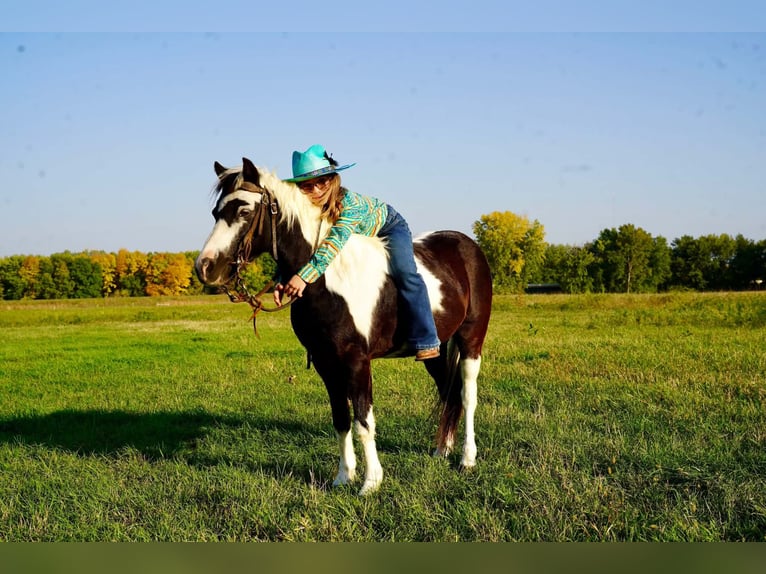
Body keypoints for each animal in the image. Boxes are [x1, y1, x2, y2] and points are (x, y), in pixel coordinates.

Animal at [195, 158, 492, 495]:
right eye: (216, 212)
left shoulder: (356, 361)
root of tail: (467, 245)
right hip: (436, 350)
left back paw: (467, 459)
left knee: (467, 396)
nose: (205, 267)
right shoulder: (326, 362)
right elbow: (341, 419)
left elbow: (364, 421)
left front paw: (370, 483)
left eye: (244, 211)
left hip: (471, 340)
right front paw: (343, 477)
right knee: (449, 395)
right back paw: (441, 451)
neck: (326, 278)